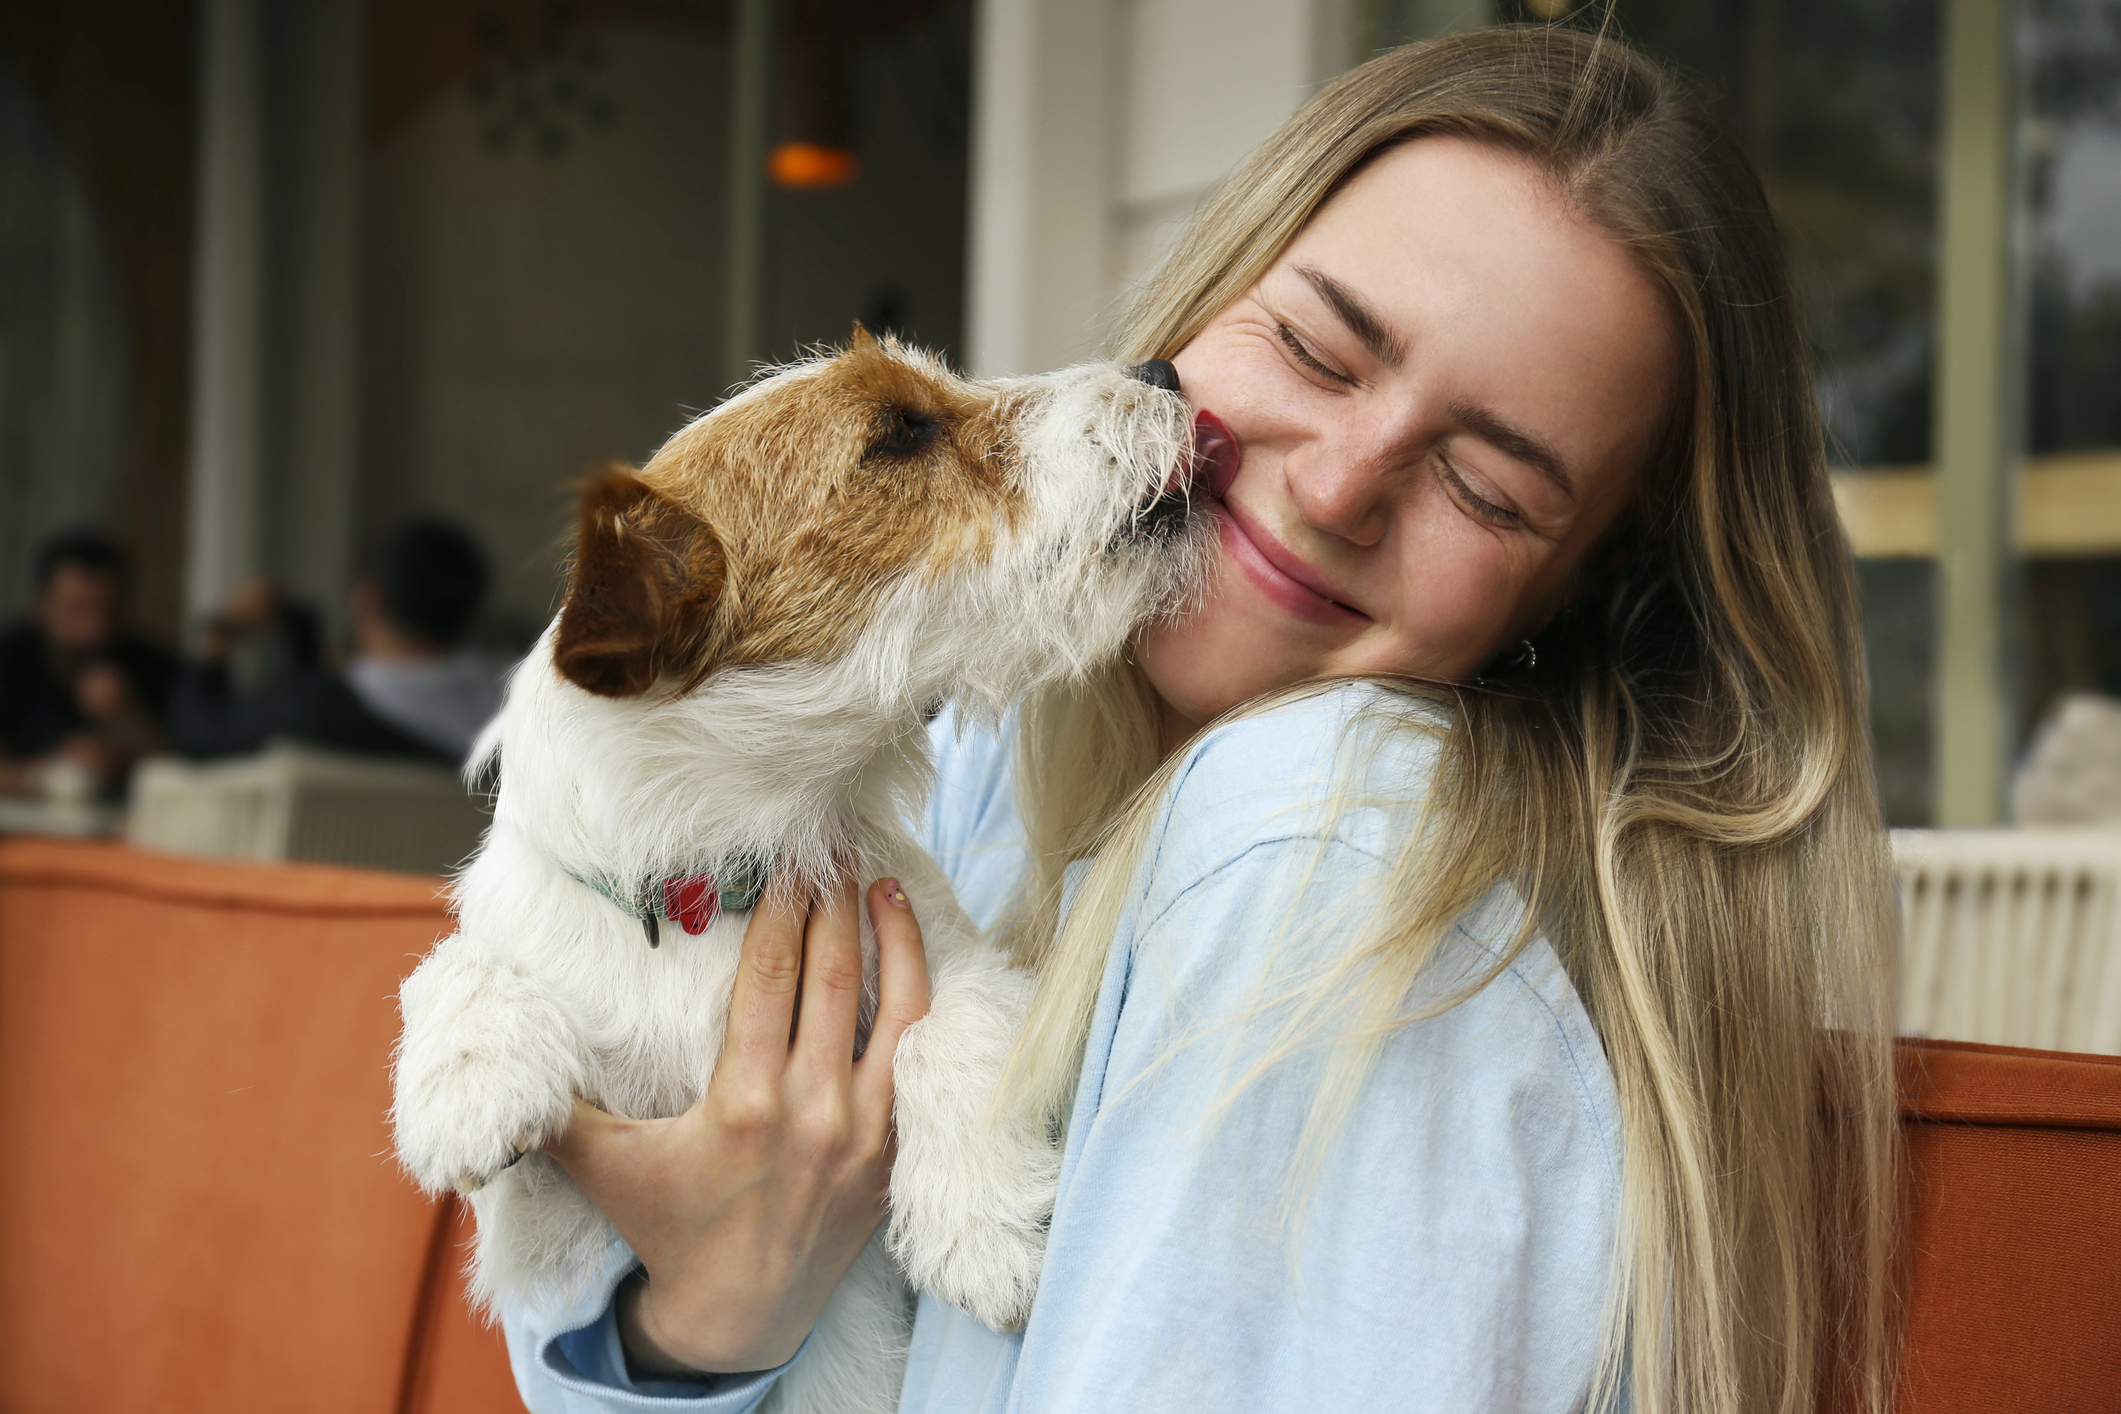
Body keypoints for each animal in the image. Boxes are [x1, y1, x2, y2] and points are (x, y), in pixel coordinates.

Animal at [381, 334, 1213, 1414]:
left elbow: (939, 1033)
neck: (721, 885)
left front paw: (979, 1229)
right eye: (901, 431)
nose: (1162, 372)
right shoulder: (549, 1235)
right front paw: (462, 1085)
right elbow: (457, 964)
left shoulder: (964, 963)